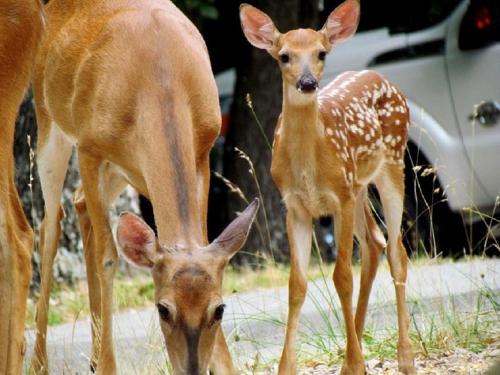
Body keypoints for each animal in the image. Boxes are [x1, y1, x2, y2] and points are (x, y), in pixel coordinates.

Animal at [32, 0, 258, 375]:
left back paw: (91, 357)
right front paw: (108, 366)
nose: (192, 369)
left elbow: (201, 238)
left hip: (125, 172)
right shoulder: (90, 148)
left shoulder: (203, 153)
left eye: (220, 309)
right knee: (50, 224)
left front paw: (225, 364)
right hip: (49, 123)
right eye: (162, 309)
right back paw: (39, 362)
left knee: (78, 203)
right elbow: (108, 257)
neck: (159, 77)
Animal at [240, 0, 416, 374]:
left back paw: (404, 357)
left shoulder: (340, 198)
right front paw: (287, 367)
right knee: (375, 243)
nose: (307, 82)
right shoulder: (294, 206)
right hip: (359, 185)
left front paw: (356, 363)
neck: (309, 166)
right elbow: (296, 284)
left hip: (392, 166)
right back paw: (355, 348)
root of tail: (382, 77)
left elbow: (341, 277)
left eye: (321, 53)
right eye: (284, 56)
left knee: (397, 251)